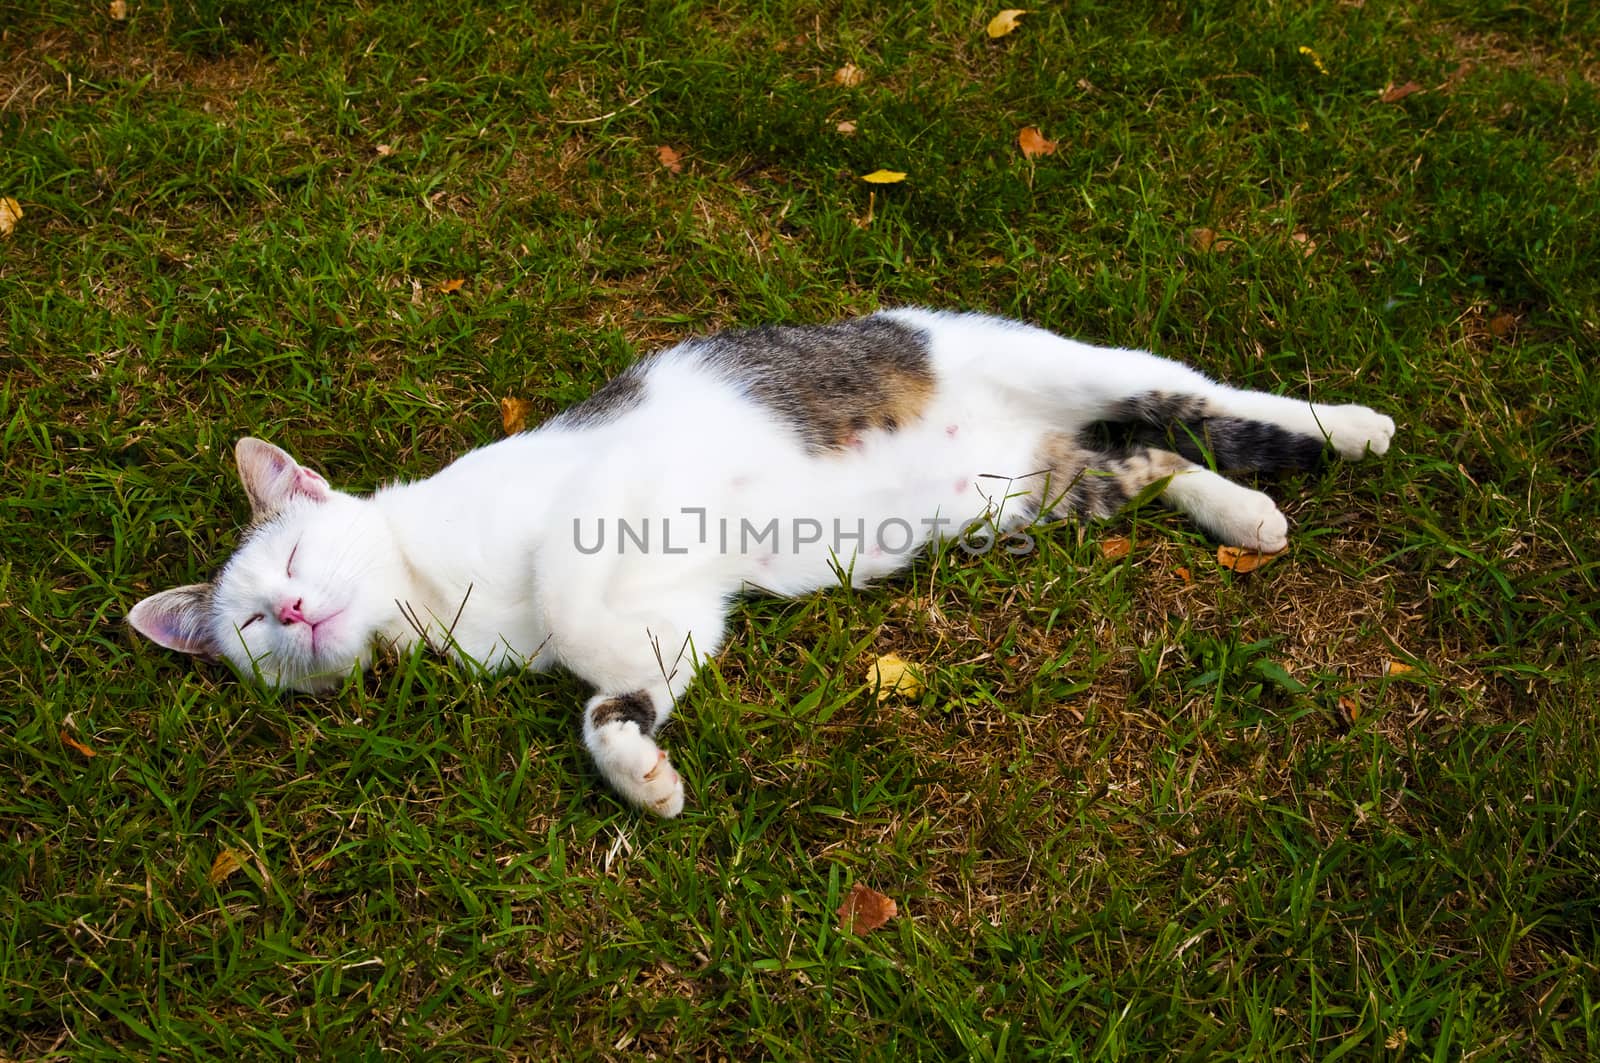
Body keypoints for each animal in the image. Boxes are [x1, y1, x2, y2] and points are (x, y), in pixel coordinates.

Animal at [131, 307, 1395, 813]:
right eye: (251, 631)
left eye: (296, 549)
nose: (296, 611)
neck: (443, 598)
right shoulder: (683, 616)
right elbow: (611, 695)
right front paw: (640, 769)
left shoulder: (603, 491)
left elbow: (574, 598)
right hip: (1028, 496)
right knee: (1153, 455)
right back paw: (1246, 514)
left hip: (1066, 362)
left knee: (1196, 395)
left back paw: (1346, 425)